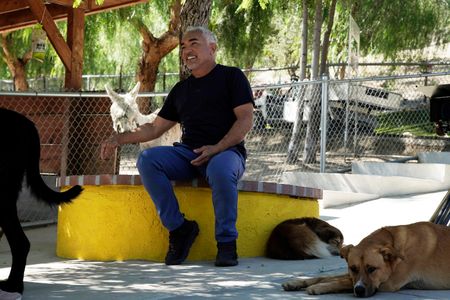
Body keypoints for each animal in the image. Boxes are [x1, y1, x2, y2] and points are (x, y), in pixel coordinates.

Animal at [284, 221, 450, 296]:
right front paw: (296, 283)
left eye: (372, 269)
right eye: (353, 268)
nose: (359, 291)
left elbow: (342, 282)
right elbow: (326, 276)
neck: (394, 244)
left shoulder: (388, 282)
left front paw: (318, 287)